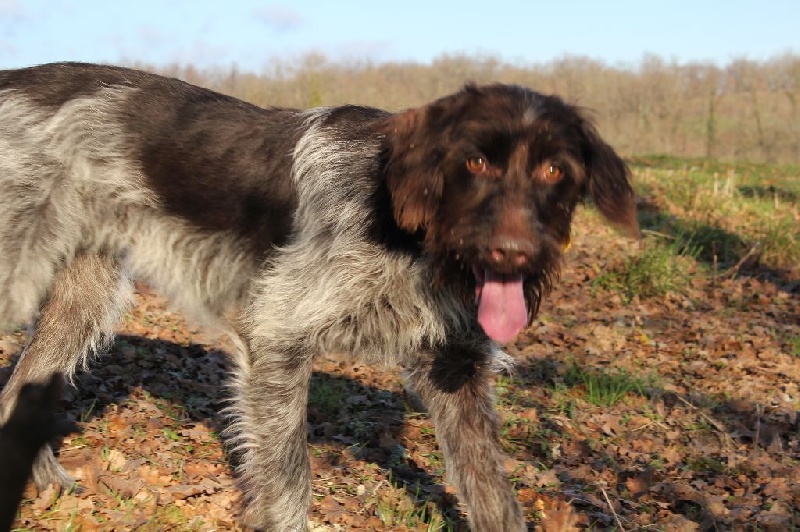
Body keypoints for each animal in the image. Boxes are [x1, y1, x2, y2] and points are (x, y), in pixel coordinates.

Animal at [0, 63, 636, 532]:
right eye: (474, 161)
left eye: (555, 170)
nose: (513, 255)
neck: (407, 230)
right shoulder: (276, 338)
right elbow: (289, 479)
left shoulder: (456, 372)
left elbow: (494, 499)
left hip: (80, 300)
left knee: (16, 390)